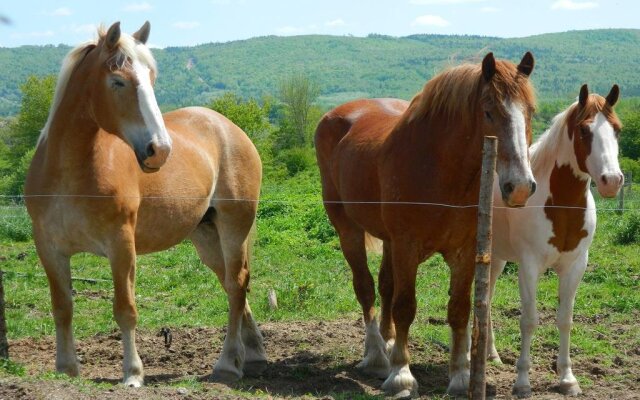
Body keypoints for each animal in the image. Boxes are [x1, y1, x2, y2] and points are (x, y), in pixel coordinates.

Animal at [24, 22, 264, 388]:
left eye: (151, 78)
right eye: (118, 81)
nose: (159, 150)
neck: (70, 173)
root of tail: (230, 129)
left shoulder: (121, 246)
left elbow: (126, 309)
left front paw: (133, 374)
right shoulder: (49, 249)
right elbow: (62, 306)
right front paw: (66, 369)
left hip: (233, 227)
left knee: (237, 285)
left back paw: (227, 364)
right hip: (206, 235)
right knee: (232, 284)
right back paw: (251, 351)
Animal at [318, 52, 536, 396]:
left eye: (530, 111)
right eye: (489, 111)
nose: (521, 187)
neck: (440, 171)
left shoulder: (464, 252)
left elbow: (459, 310)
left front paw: (459, 377)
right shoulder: (407, 246)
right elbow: (406, 306)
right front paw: (401, 375)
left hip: (388, 241)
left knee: (385, 287)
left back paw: (387, 343)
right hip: (347, 229)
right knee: (365, 288)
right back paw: (377, 356)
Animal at [488, 84, 624, 396]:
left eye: (617, 129)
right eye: (585, 130)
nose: (612, 181)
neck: (560, 206)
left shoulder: (575, 267)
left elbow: (565, 319)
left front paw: (567, 379)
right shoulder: (529, 267)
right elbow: (529, 320)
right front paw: (522, 382)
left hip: (497, 258)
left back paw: (492, 355)